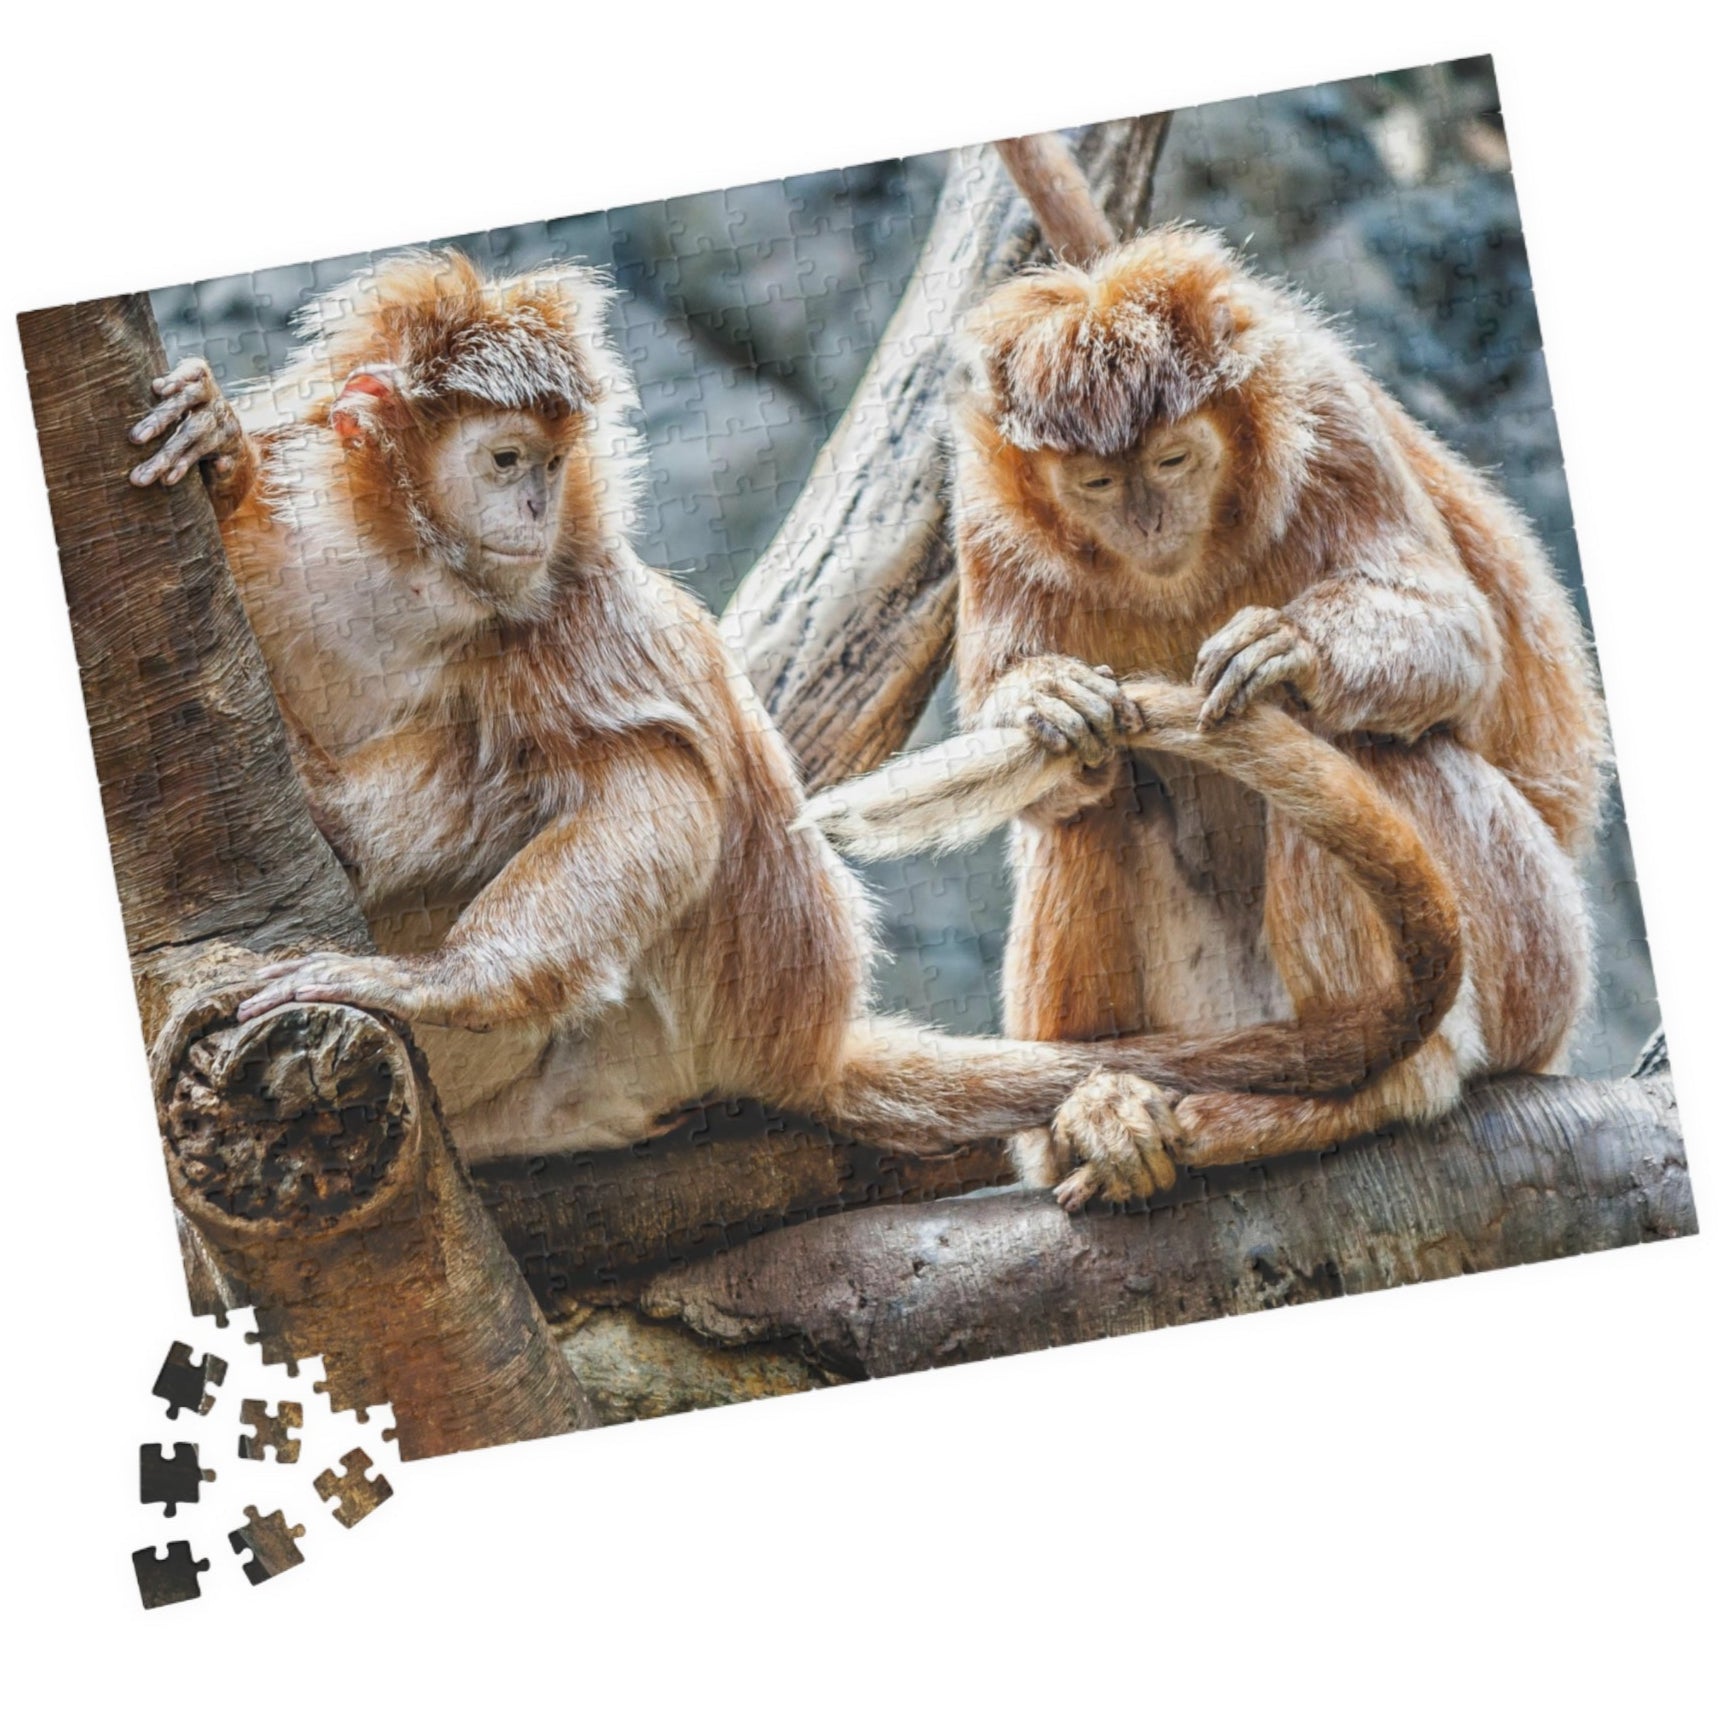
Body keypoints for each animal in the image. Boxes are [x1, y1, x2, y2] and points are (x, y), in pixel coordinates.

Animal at [128, 245, 1369, 1167]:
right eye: (503, 459)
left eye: (545, 464)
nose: (533, 510)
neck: (407, 577)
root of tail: (799, 1044)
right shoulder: (307, 554)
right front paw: (218, 451)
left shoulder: (567, 604)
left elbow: (660, 793)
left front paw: (432, 981)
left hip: (644, 1035)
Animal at [804, 225, 1607, 1210]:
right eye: (1097, 482)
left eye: (1174, 460)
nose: (1149, 521)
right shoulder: (986, 509)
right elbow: (1046, 769)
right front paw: (1045, 700)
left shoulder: (1326, 413)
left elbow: (1461, 638)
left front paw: (1292, 649)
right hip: (1210, 1015)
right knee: (1096, 794)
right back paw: (1090, 1110)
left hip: (1540, 958)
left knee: (1372, 746)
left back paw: (1384, 1085)